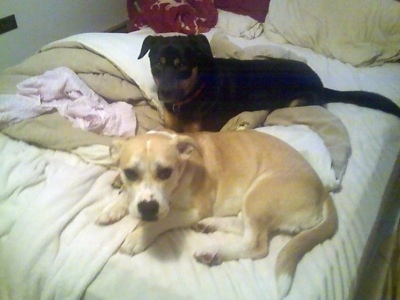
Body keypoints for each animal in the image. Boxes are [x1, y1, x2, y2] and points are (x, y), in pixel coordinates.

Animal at [97, 129, 338, 298]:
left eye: (166, 172)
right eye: (130, 173)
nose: (148, 209)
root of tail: (323, 190)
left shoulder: (194, 210)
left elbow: (161, 221)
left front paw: (139, 235)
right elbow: (128, 197)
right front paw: (113, 208)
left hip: (259, 195)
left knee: (256, 245)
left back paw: (214, 252)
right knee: (244, 226)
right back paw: (210, 224)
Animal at [139, 34, 400, 132]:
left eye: (182, 65)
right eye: (158, 64)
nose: (164, 94)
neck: (194, 91)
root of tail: (321, 83)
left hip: (297, 102)